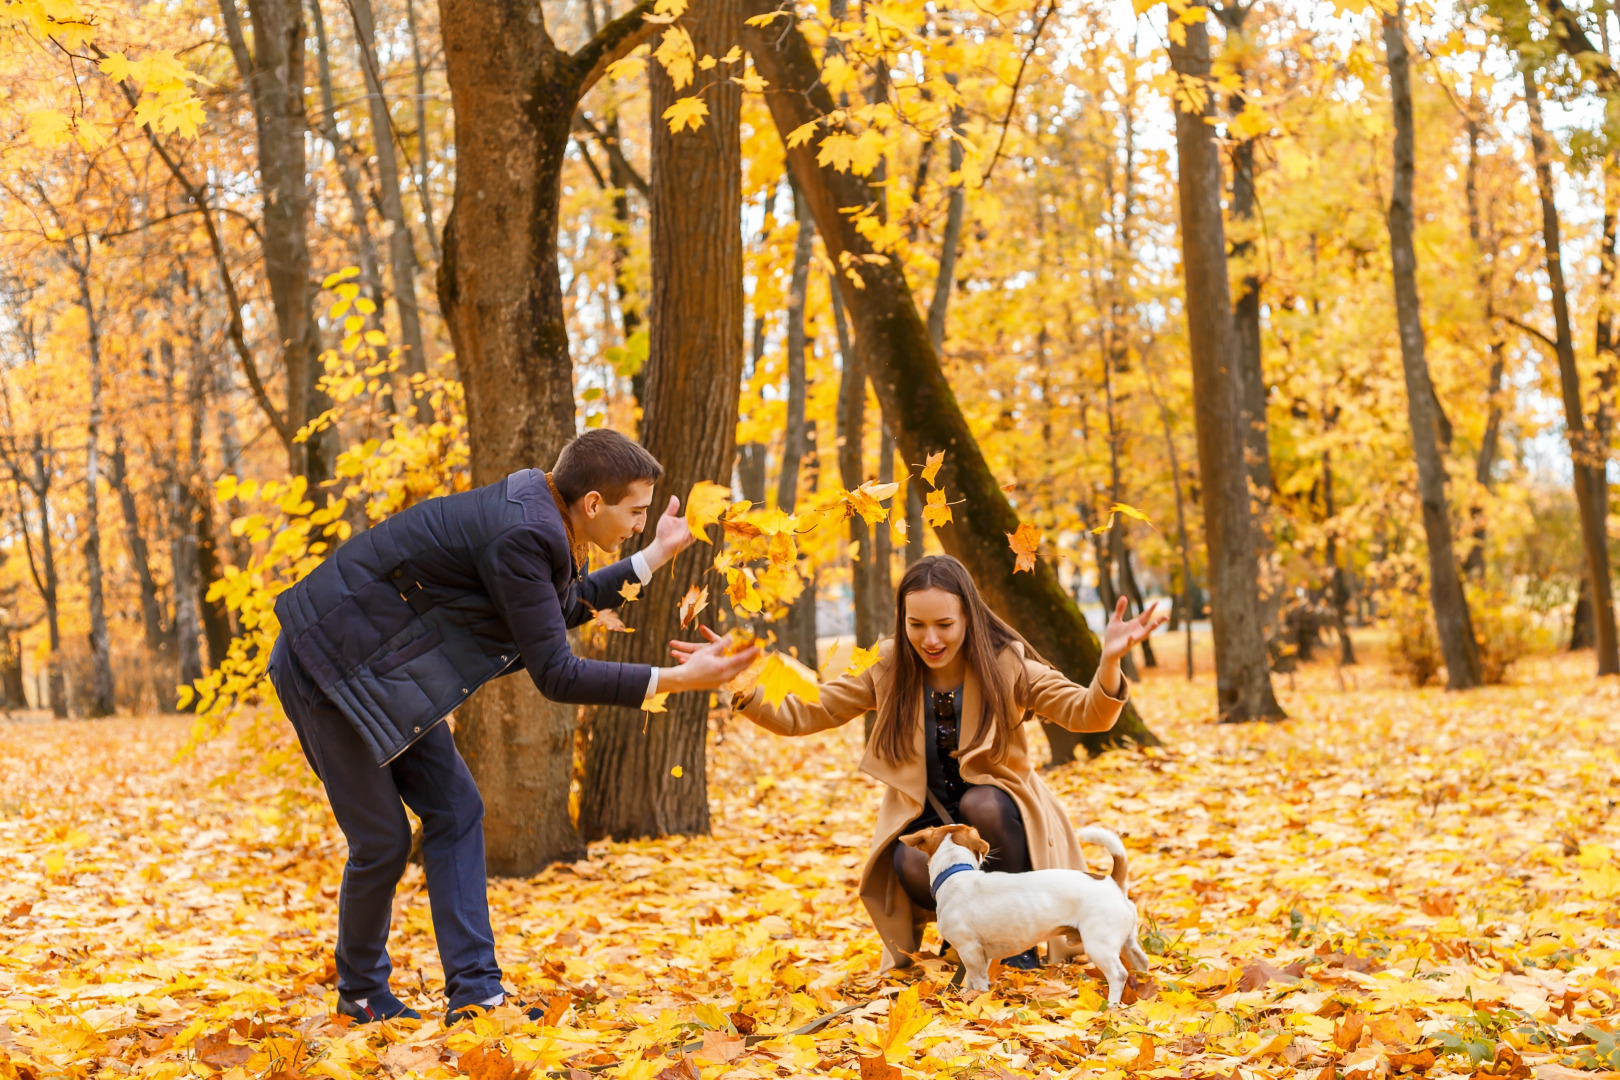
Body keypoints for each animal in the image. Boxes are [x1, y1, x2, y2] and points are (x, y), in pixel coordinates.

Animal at [900, 819, 1153, 1003]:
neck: (955, 872)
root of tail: (1111, 882)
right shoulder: (981, 953)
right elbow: (971, 980)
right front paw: (966, 996)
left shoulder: (969, 950)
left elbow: (977, 981)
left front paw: (975, 999)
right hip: (1127, 943)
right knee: (1142, 963)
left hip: (1099, 945)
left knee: (1118, 975)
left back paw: (1111, 1006)